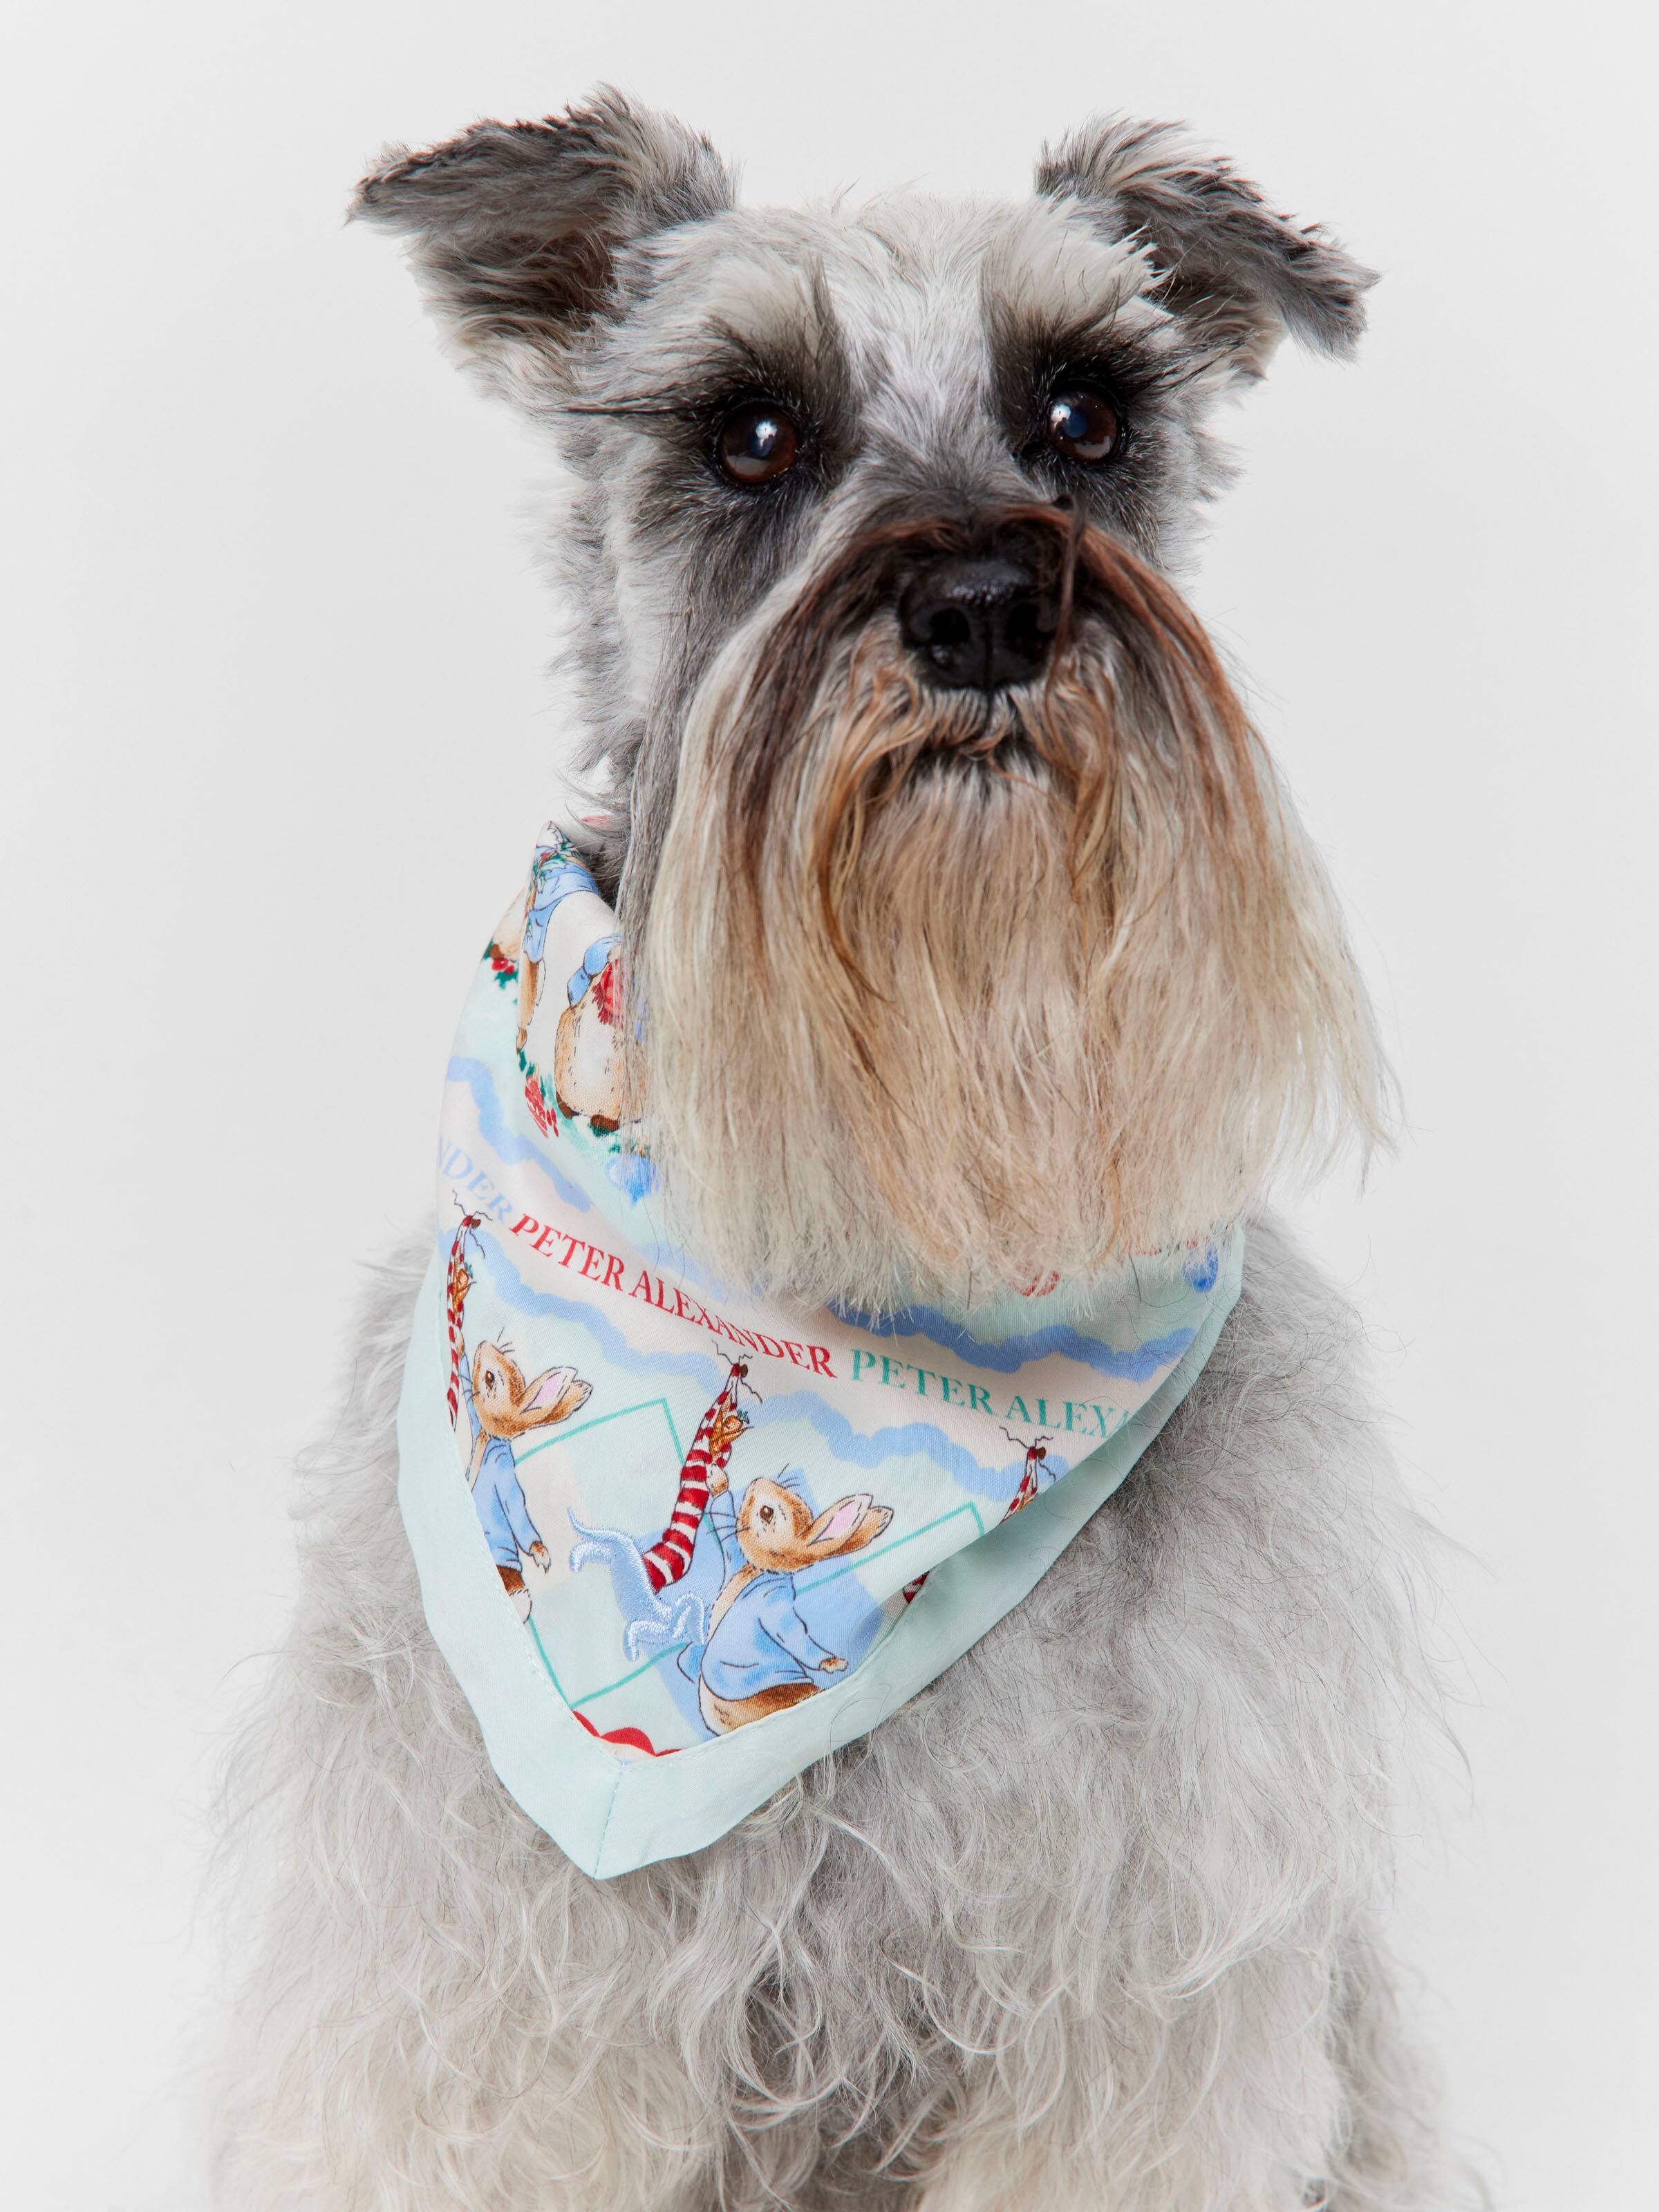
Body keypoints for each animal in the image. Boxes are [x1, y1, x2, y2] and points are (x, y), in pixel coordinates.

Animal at [696, 1466, 893, 1733]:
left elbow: (792, 1634)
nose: (758, 1481)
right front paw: (717, 1480)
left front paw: (831, 1663)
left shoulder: (774, 1606)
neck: (762, 1572)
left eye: (766, 1513)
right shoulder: (735, 1560)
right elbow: (723, 1516)